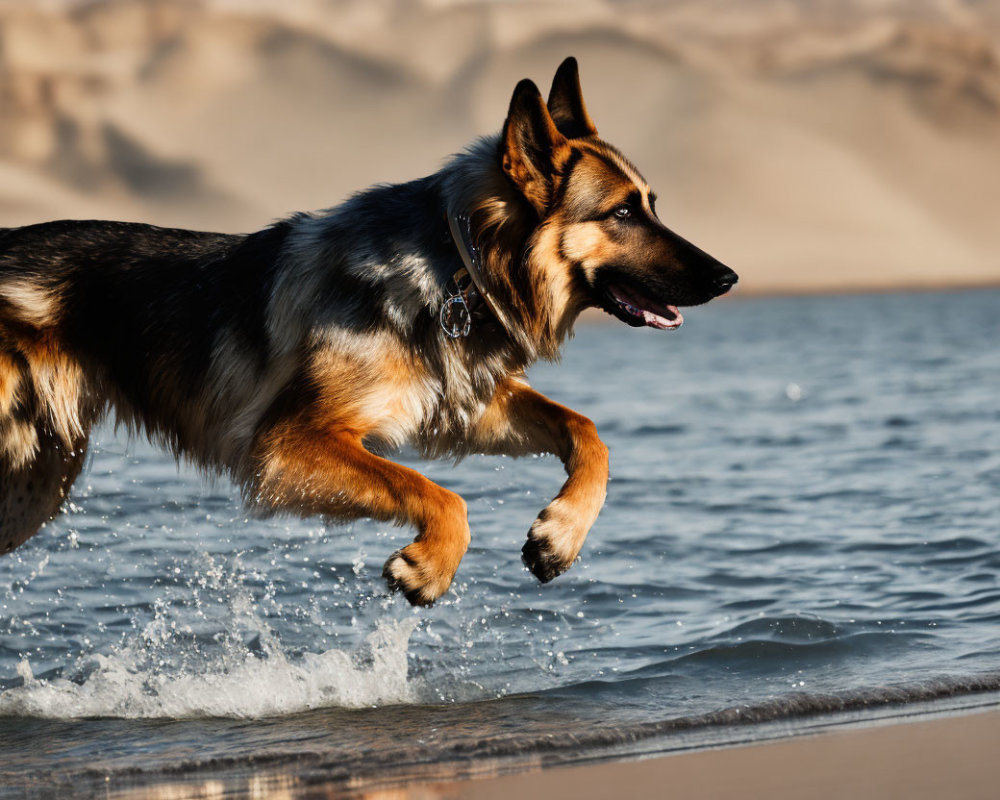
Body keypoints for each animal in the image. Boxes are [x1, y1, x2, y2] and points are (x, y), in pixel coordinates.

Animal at [0, 57, 736, 608]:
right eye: (622, 214)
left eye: (651, 206)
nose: (728, 276)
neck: (457, 267)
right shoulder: (289, 446)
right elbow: (436, 492)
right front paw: (432, 565)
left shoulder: (460, 406)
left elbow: (587, 432)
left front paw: (561, 534)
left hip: (37, 480)